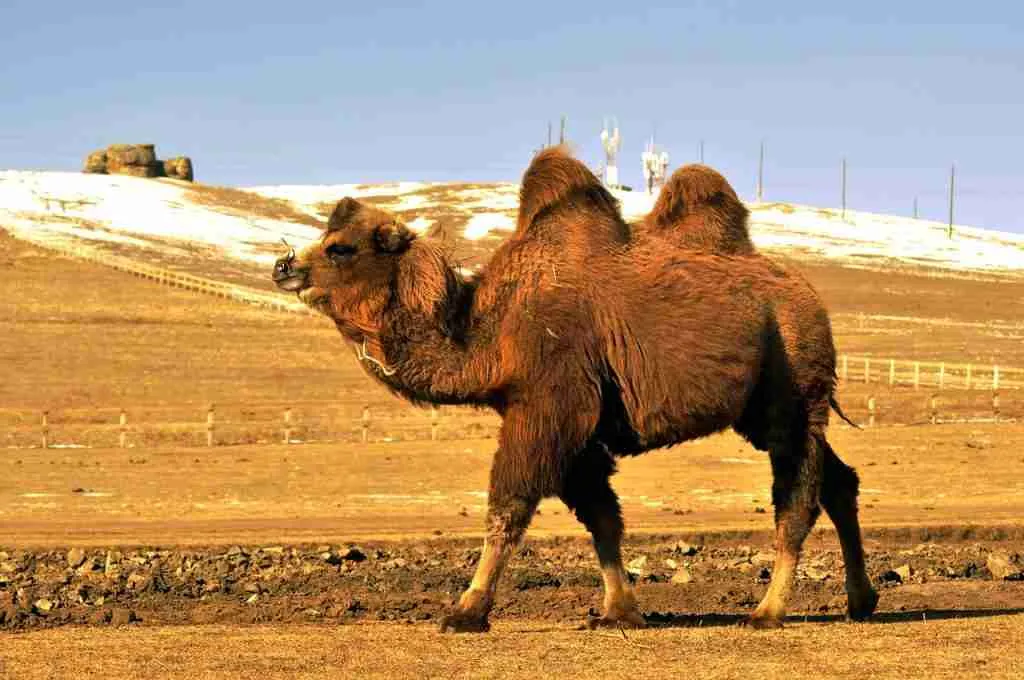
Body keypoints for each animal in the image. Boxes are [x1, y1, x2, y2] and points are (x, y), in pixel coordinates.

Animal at [271, 149, 878, 632]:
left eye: (341, 248)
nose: (282, 266)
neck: (490, 330)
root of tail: (807, 295)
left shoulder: (550, 401)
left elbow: (509, 506)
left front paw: (466, 611)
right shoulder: (575, 425)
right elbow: (601, 515)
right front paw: (619, 611)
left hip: (792, 381)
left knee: (797, 493)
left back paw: (768, 611)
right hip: (764, 405)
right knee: (838, 481)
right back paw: (861, 600)